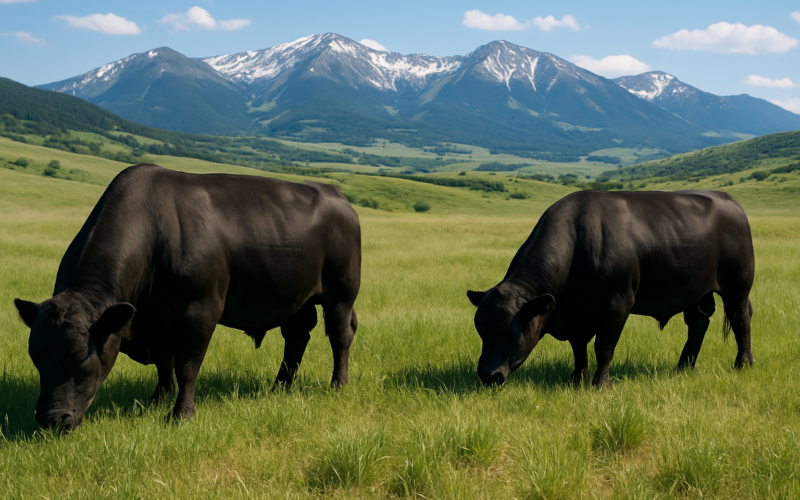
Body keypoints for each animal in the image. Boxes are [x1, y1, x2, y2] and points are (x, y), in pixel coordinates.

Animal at [14, 164, 361, 430]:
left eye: (83, 364)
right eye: (37, 359)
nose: (50, 420)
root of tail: (337, 195)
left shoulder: (200, 311)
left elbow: (186, 365)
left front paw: (181, 414)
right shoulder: (157, 319)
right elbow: (164, 362)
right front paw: (158, 399)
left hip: (342, 293)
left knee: (340, 336)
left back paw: (338, 384)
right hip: (296, 299)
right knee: (297, 336)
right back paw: (280, 386)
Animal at [467, 190, 754, 388]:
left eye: (512, 335)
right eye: (481, 331)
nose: (487, 375)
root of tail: (727, 198)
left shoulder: (617, 305)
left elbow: (603, 347)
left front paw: (600, 383)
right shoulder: (576, 315)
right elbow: (579, 347)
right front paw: (577, 379)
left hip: (738, 286)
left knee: (741, 320)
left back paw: (743, 363)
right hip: (695, 291)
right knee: (698, 323)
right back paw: (684, 366)